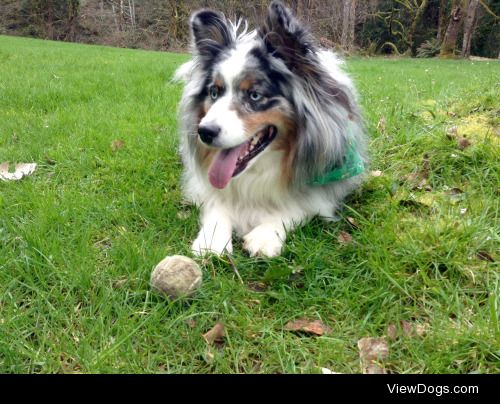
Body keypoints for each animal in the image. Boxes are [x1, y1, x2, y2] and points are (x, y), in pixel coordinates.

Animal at [175, 0, 368, 258]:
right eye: (214, 92)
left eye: (255, 95)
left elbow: (302, 204)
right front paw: (212, 239)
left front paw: (265, 234)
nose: (204, 132)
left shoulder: (328, 181)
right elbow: (217, 200)